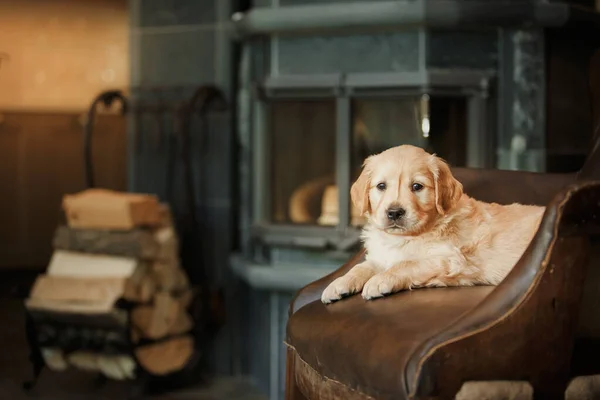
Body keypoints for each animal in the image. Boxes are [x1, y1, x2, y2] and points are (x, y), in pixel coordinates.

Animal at [322, 145, 548, 304]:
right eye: (381, 186)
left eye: (417, 186)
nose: (394, 212)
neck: (406, 237)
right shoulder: (380, 257)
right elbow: (361, 267)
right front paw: (338, 284)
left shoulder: (449, 259)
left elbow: (406, 263)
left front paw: (378, 281)